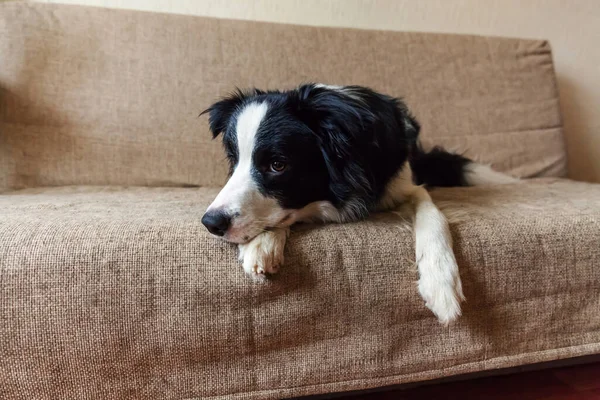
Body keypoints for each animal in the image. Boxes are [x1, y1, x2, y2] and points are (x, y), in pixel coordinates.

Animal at [198, 84, 516, 324]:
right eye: (234, 159)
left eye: (278, 165)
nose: (211, 223)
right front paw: (262, 244)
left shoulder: (404, 187)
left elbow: (433, 216)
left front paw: (441, 281)